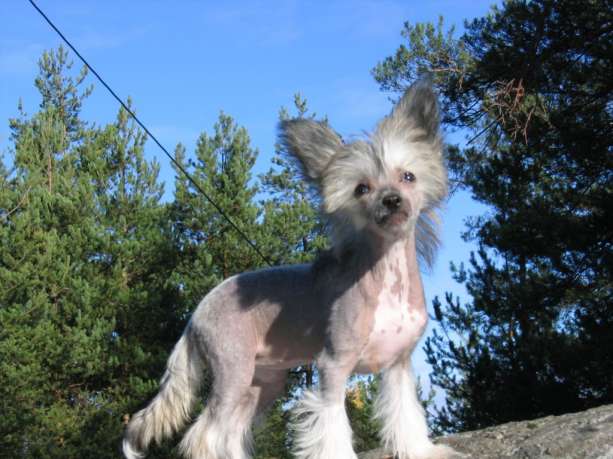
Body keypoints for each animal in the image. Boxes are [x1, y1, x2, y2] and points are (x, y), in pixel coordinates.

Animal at [123, 80, 455, 459]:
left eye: (408, 176)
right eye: (362, 188)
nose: (391, 200)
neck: (387, 274)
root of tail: (196, 315)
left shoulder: (398, 367)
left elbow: (406, 414)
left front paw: (423, 450)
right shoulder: (333, 367)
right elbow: (332, 428)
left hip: (262, 383)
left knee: (230, 433)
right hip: (234, 372)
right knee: (205, 435)